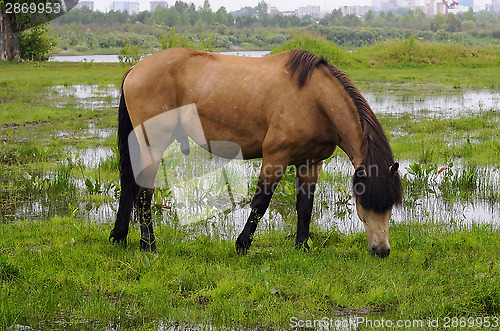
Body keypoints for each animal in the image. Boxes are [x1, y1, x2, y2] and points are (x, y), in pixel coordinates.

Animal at [109, 48, 402, 258]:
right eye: (367, 202)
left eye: (390, 204)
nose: (382, 250)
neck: (315, 99)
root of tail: (136, 69)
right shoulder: (275, 158)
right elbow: (261, 202)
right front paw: (242, 245)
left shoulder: (310, 162)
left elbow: (305, 205)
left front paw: (302, 246)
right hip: (153, 144)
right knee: (143, 193)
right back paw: (149, 246)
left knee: (131, 187)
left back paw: (121, 237)